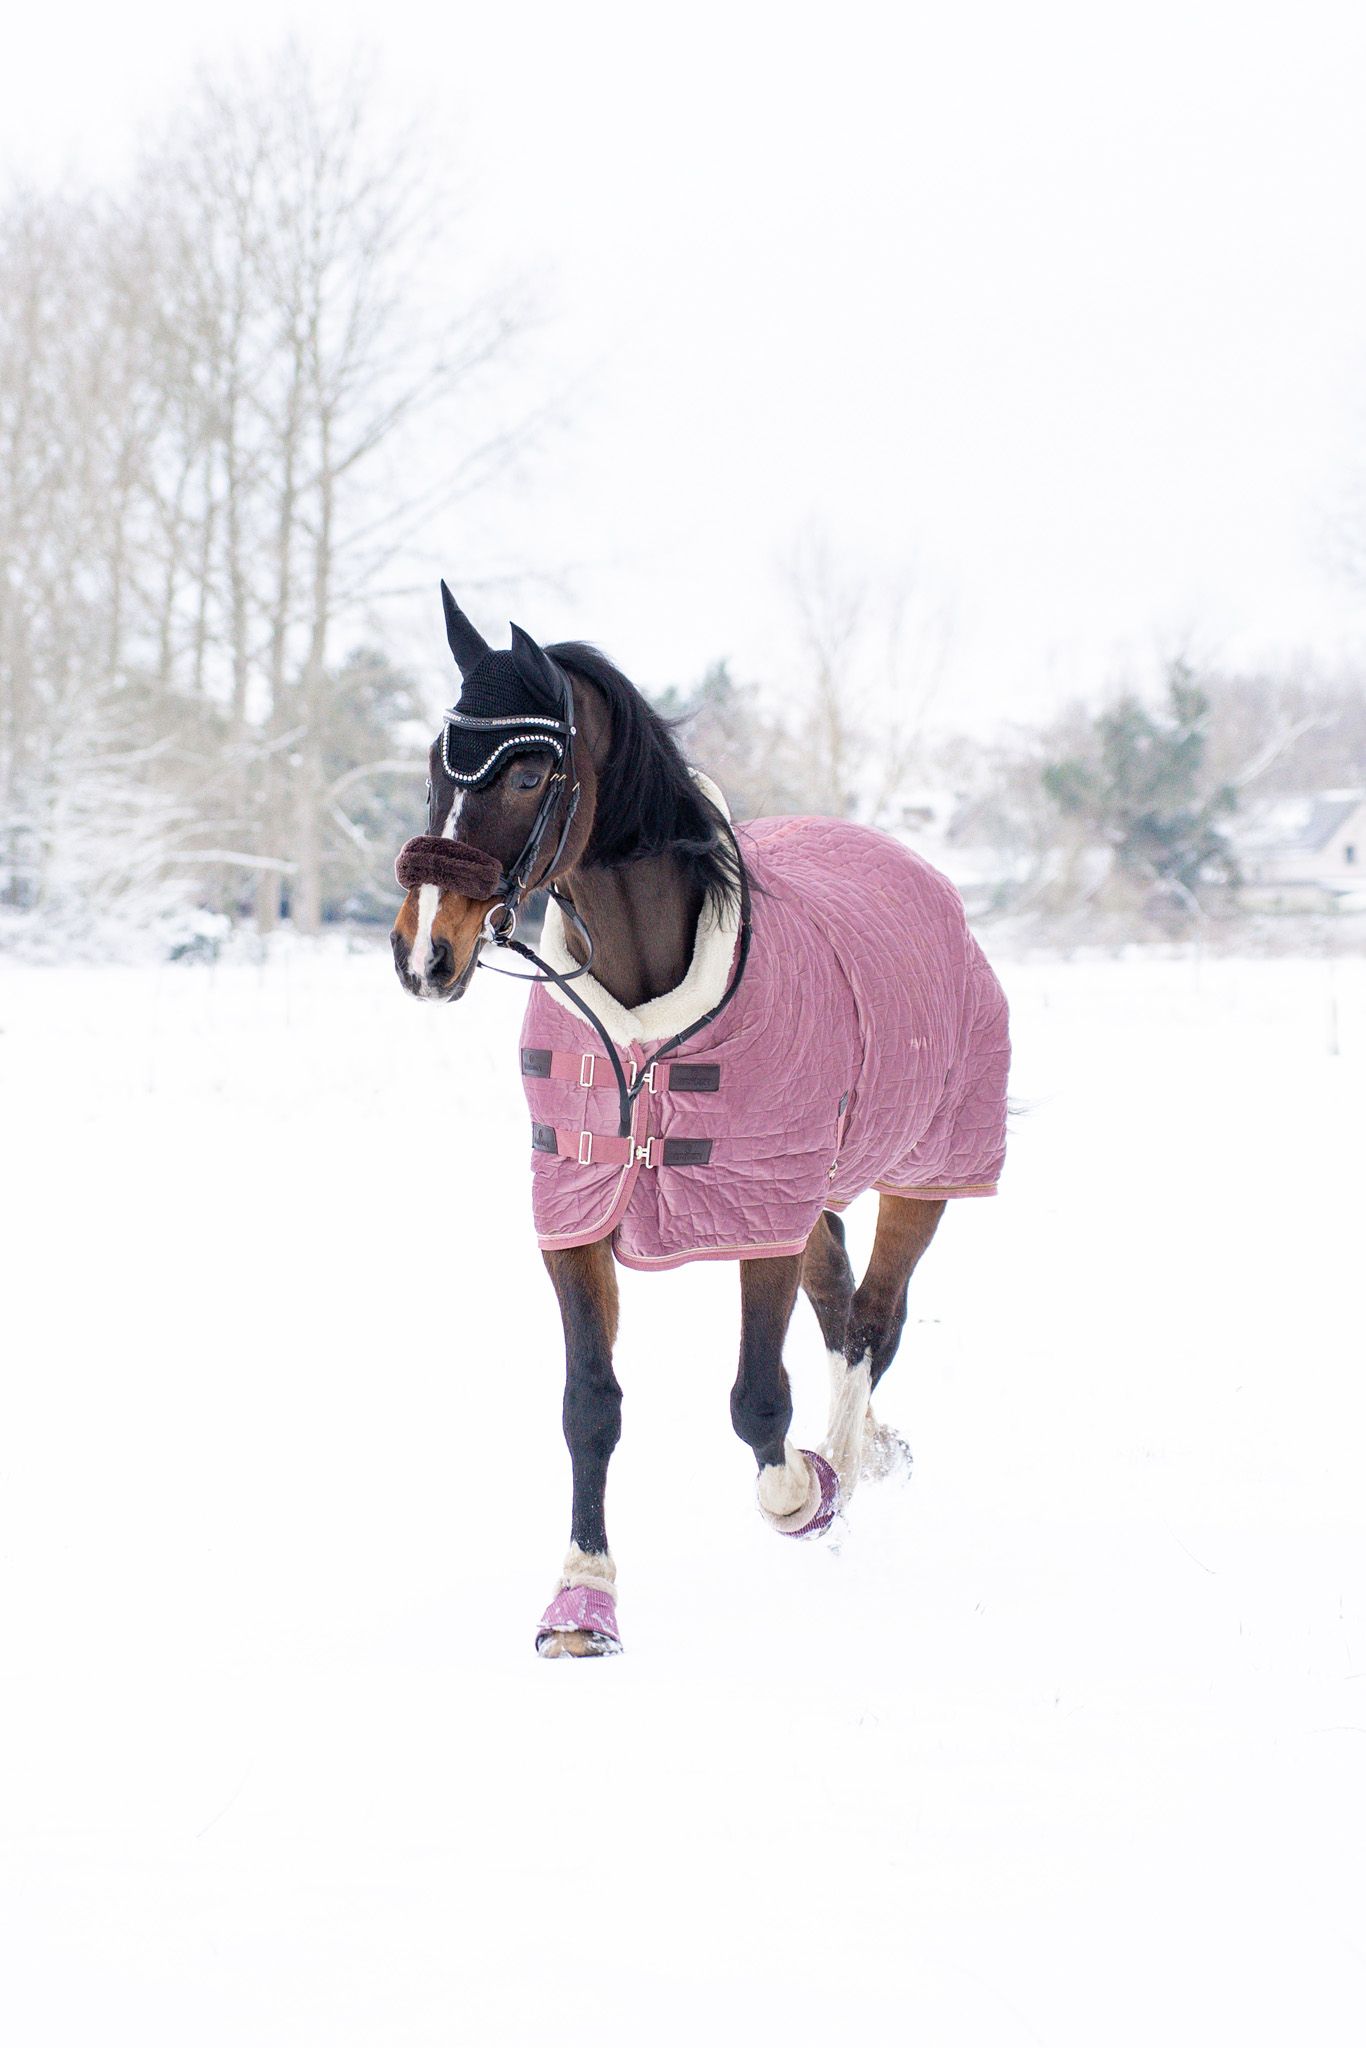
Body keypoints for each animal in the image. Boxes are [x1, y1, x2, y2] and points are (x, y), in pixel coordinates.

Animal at [391, 584, 1010, 1657]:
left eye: (527, 770)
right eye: (438, 761)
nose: (425, 950)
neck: (647, 1023)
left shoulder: (759, 1211)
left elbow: (760, 1405)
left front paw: (808, 1493)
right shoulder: (578, 1206)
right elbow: (589, 1407)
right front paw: (581, 1601)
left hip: (922, 1172)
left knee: (874, 1322)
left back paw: (853, 1455)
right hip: (816, 1193)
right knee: (843, 1313)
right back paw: (872, 1444)